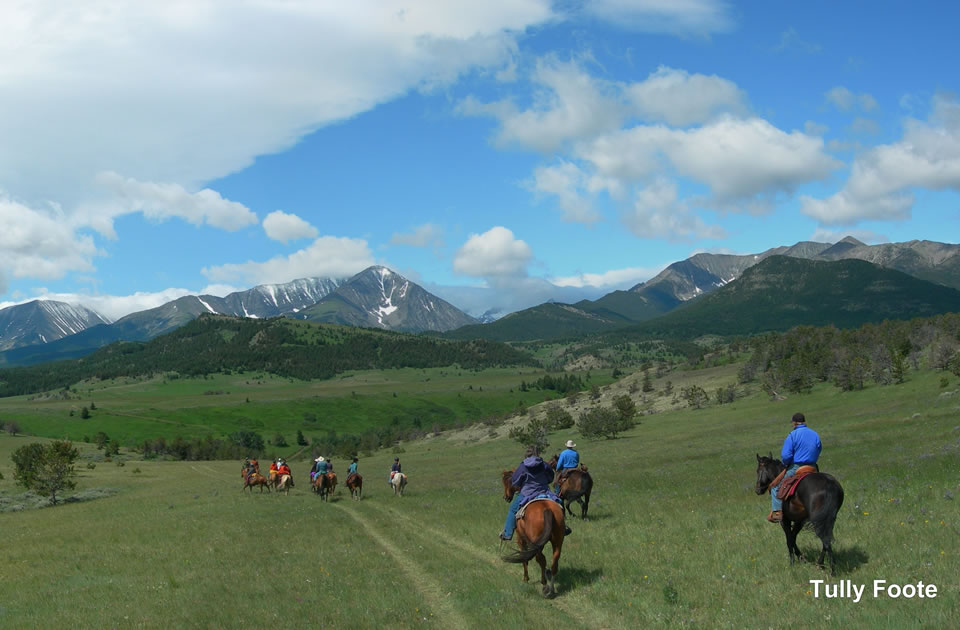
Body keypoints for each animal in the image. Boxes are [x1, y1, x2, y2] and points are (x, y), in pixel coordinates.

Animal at [498, 472, 568, 600]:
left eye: (506, 482)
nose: (506, 497)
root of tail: (547, 509)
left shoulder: (520, 539)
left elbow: (524, 557)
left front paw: (525, 578)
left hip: (535, 543)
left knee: (541, 560)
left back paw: (545, 586)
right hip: (558, 540)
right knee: (554, 561)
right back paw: (551, 588)